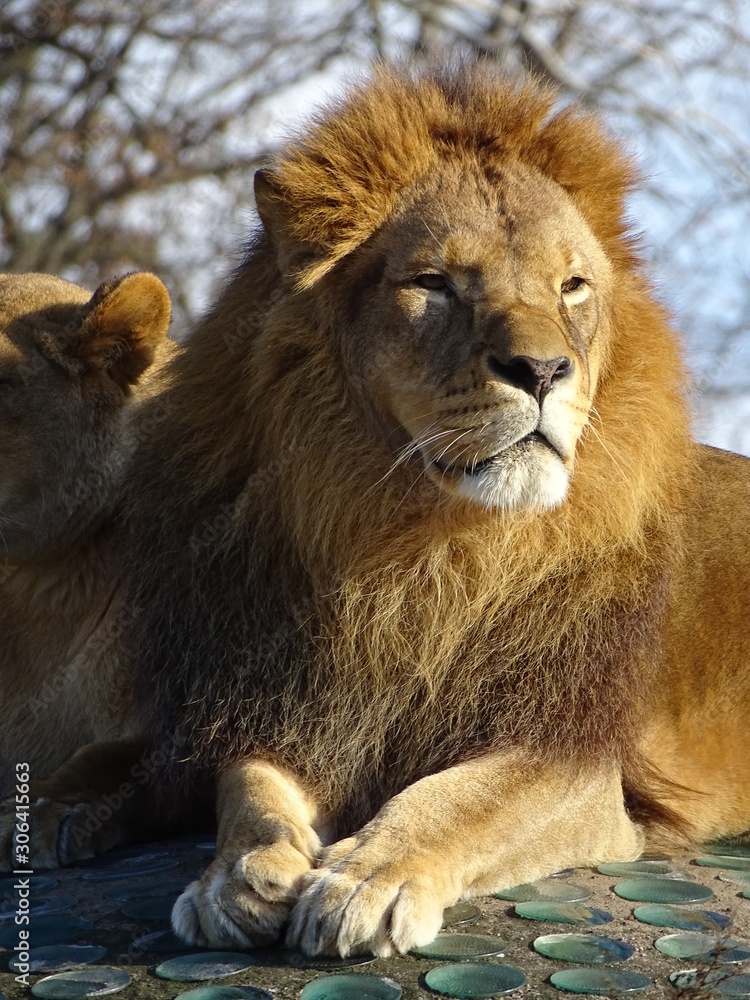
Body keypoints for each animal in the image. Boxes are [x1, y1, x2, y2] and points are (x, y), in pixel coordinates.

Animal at [120, 66, 750, 956]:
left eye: (572, 287)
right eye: (435, 284)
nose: (543, 370)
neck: (424, 547)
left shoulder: (576, 760)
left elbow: (461, 799)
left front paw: (366, 880)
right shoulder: (295, 697)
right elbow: (249, 788)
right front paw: (235, 876)